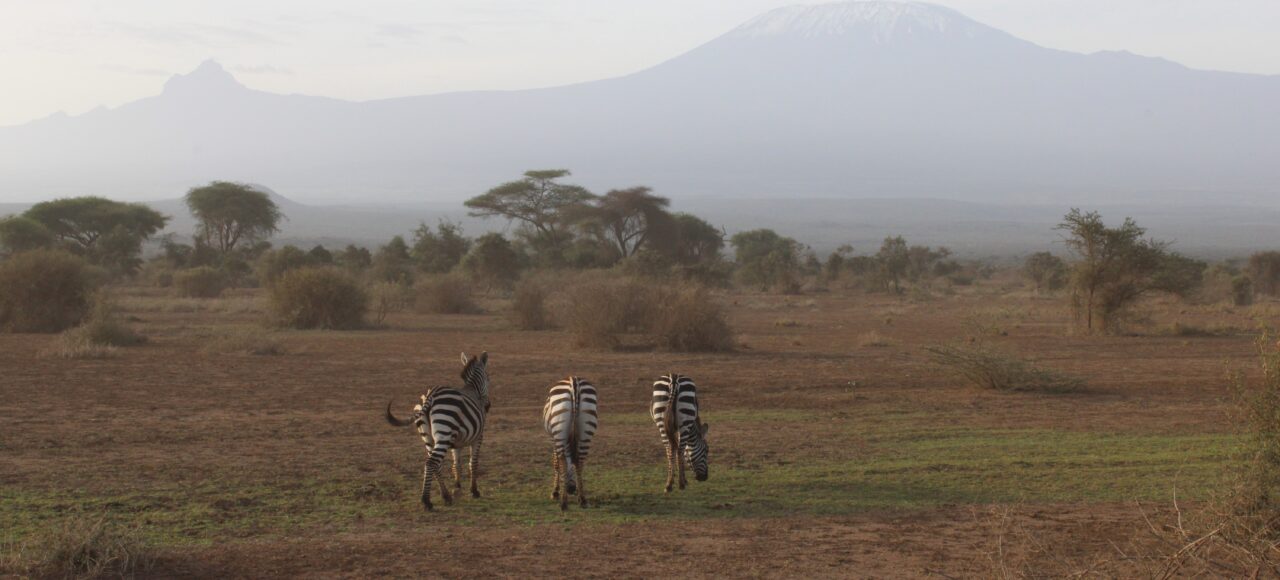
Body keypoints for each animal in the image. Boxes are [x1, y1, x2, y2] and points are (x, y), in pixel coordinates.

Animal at [384, 350, 488, 509]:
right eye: (488, 377)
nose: (488, 406)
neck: (473, 389)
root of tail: (431, 394)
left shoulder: (456, 442)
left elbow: (456, 464)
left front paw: (457, 486)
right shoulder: (478, 437)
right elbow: (473, 463)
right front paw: (474, 491)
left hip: (428, 436)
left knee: (435, 464)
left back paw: (446, 496)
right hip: (443, 433)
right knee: (432, 462)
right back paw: (426, 501)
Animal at [540, 376, 599, 509]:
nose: (571, 489)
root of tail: (574, 380)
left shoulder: (553, 439)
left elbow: (556, 463)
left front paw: (555, 492)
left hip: (559, 429)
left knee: (562, 461)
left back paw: (563, 502)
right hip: (586, 428)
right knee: (580, 461)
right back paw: (582, 499)